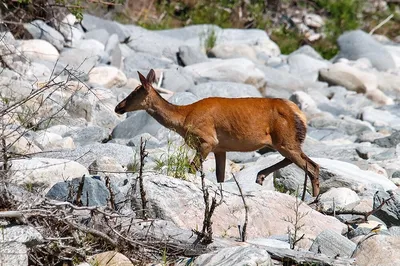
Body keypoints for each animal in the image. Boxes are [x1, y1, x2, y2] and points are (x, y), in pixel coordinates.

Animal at [114, 69, 320, 196]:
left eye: (134, 92)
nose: (118, 107)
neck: (183, 118)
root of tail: (300, 115)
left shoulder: (208, 140)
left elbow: (192, 168)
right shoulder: (220, 148)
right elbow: (219, 177)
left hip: (285, 139)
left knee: (312, 166)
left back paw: (313, 200)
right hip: (285, 141)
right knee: (297, 161)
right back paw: (261, 176)